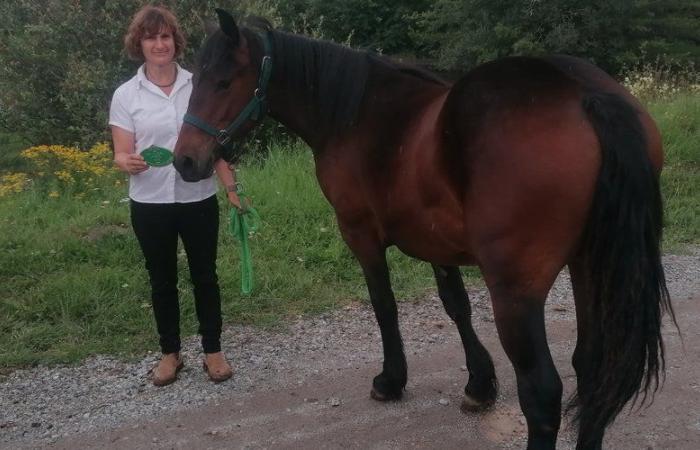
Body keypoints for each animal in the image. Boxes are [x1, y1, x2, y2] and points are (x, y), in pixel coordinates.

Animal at [172, 8, 676, 448]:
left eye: (222, 81)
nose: (185, 161)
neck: (354, 114)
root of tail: (585, 97)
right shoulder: (434, 238)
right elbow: (456, 305)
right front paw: (479, 384)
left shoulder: (360, 233)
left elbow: (384, 305)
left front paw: (392, 380)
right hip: (591, 266)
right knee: (592, 369)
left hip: (518, 291)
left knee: (542, 392)